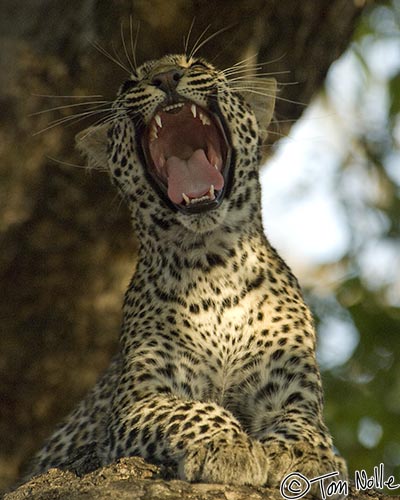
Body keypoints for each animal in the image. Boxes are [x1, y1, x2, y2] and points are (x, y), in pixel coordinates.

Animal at [26, 52, 348, 494]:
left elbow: (305, 425)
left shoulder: (290, 388)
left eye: (195, 64)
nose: (166, 76)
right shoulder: (140, 400)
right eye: (130, 84)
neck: (214, 266)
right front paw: (229, 447)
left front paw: (302, 455)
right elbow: (192, 411)